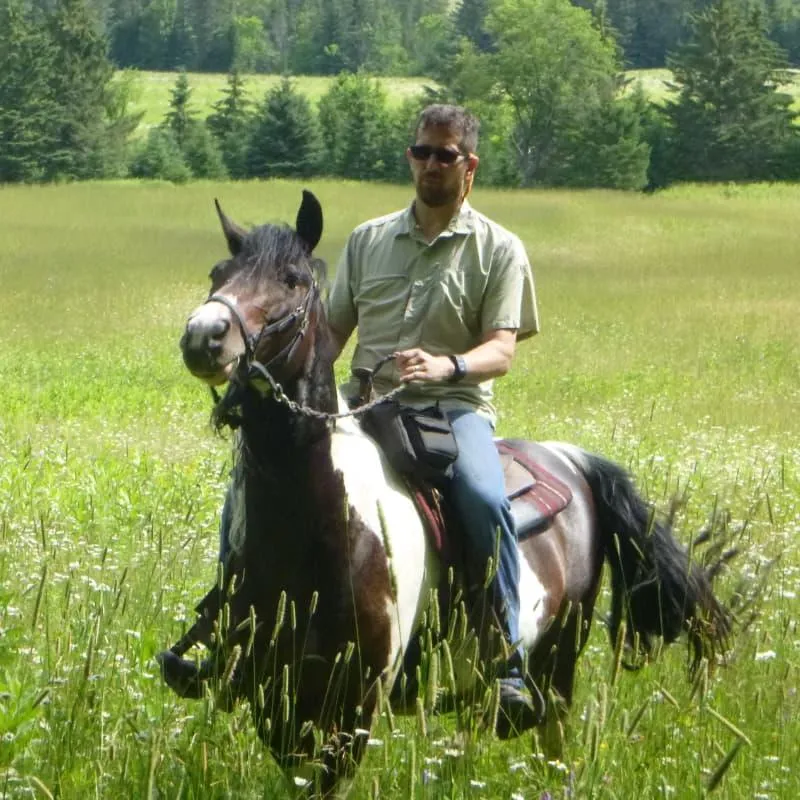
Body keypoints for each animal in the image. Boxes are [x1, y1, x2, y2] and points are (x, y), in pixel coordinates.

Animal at [162, 189, 732, 796]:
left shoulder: (354, 705)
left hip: (557, 661)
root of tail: (571, 458)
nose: (204, 336)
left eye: (291, 279)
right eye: (218, 273)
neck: (314, 530)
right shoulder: (275, 696)